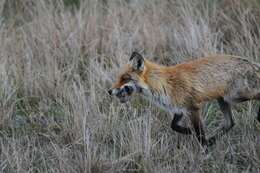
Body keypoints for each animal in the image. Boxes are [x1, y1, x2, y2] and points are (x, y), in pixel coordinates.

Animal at [107, 51, 260, 146]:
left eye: (125, 78)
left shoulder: (193, 108)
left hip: (235, 96)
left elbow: (199, 134)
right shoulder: (179, 109)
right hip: (223, 100)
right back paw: (213, 140)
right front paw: (189, 132)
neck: (163, 84)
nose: (109, 91)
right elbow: (173, 126)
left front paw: (203, 147)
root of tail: (251, 63)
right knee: (230, 123)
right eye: (118, 78)